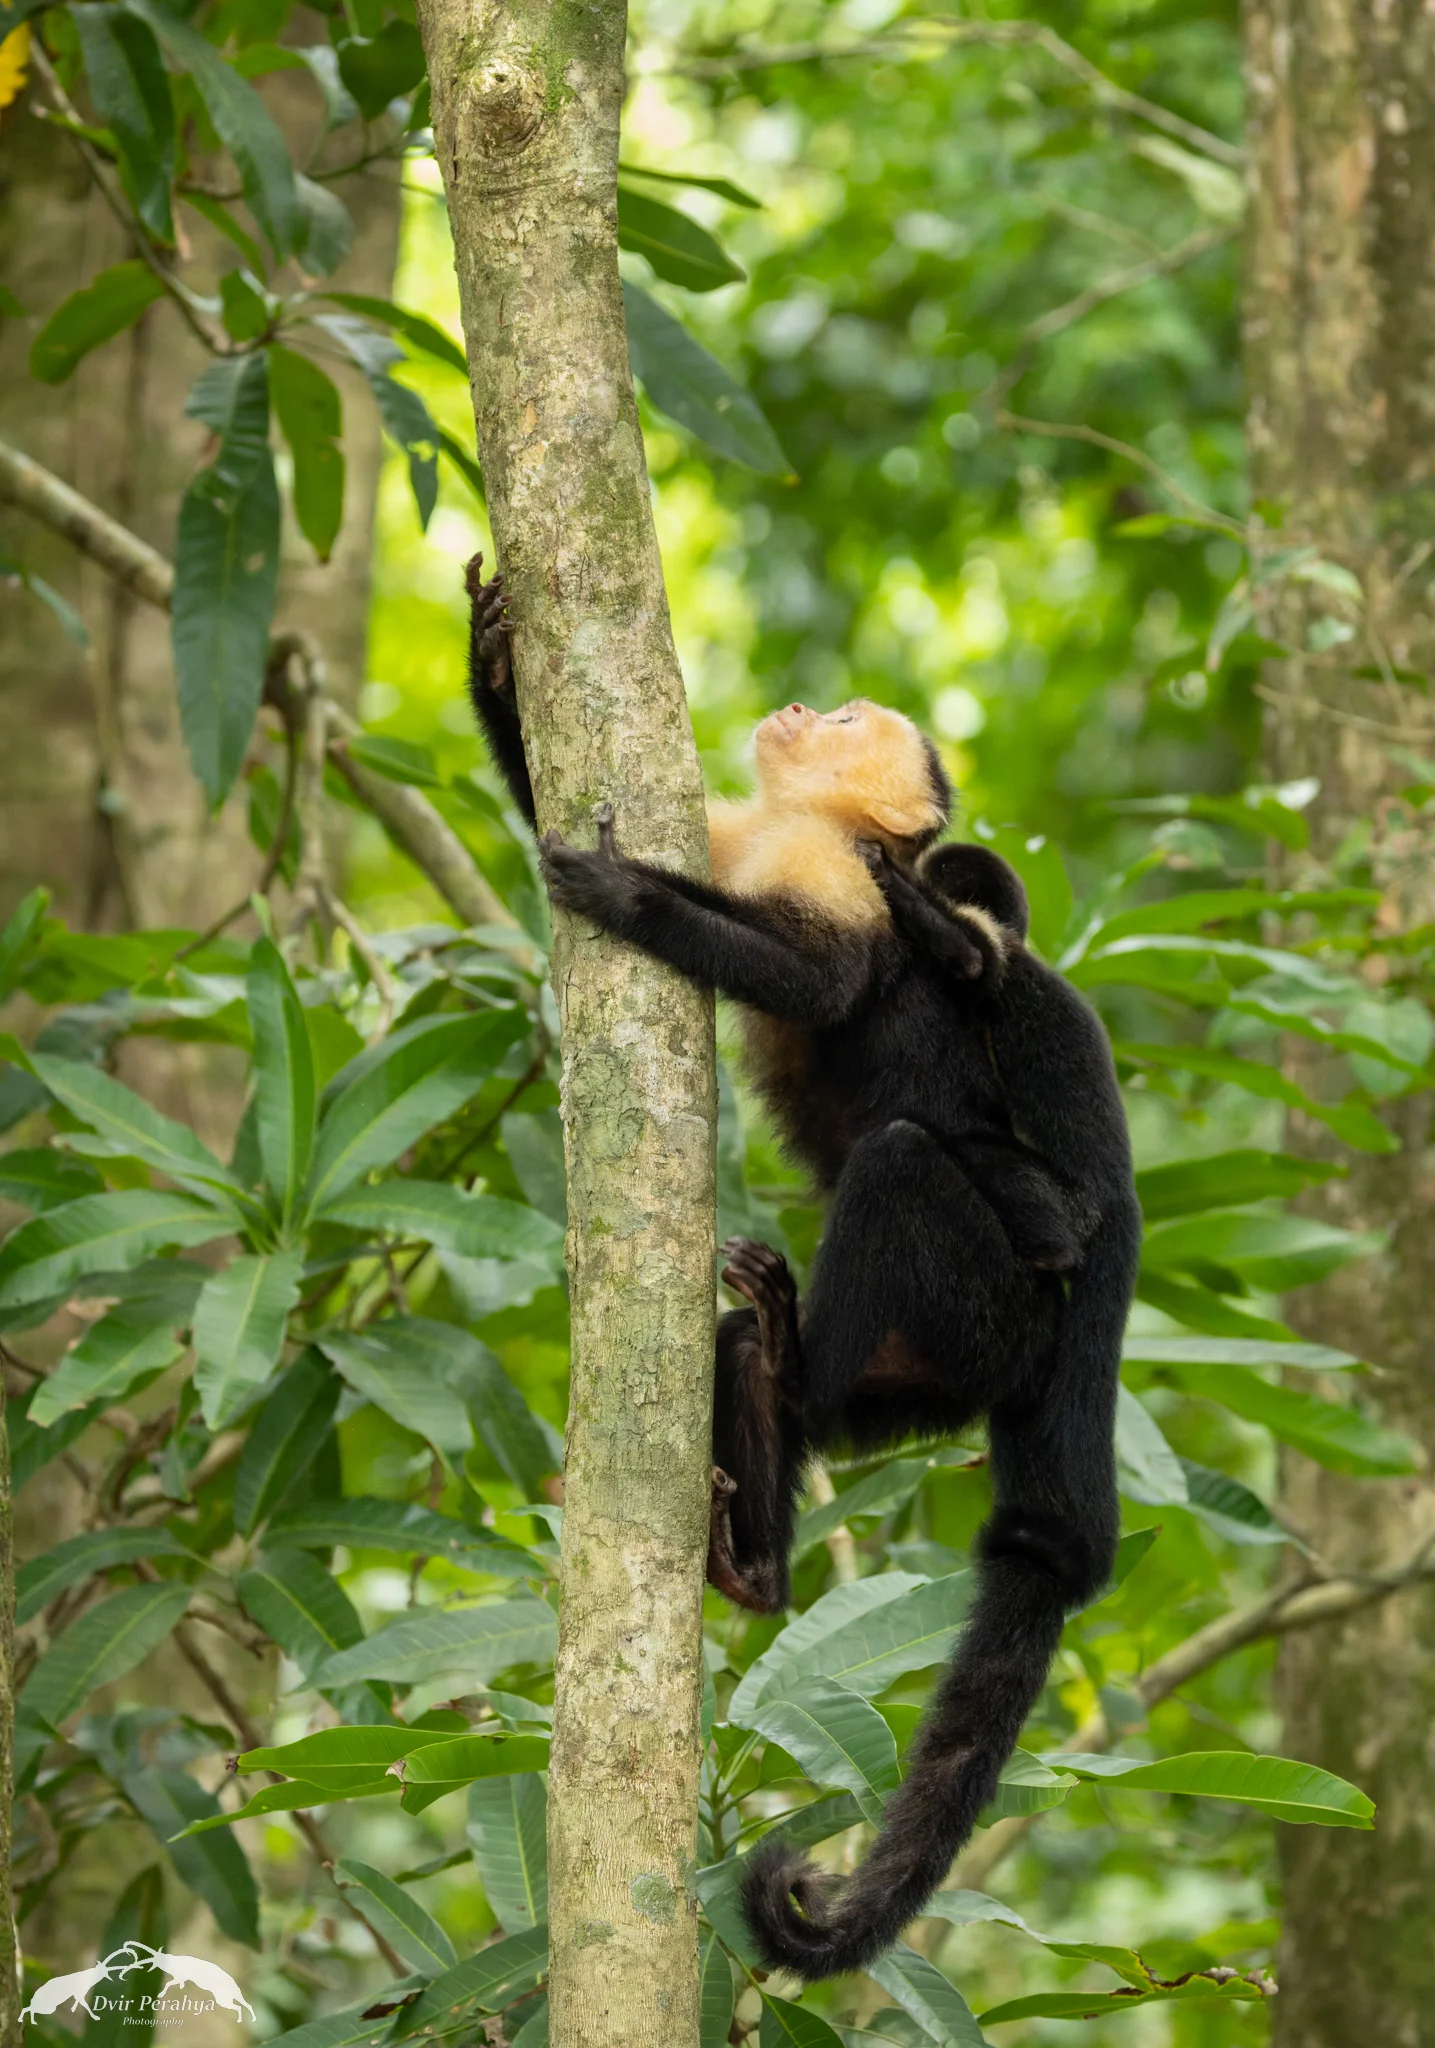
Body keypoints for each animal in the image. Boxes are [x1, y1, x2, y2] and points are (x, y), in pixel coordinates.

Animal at [462, 553, 1141, 1980]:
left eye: (843, 720)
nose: (796, 705)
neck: (800, 826)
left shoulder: (844, 872)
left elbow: (827, 985)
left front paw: (631, 899)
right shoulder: (745, 834)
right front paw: (491, 652)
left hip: (990, 1306)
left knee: (901, 1159)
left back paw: (795, 1354)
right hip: (927, 1381)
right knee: (760, 1371)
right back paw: (760, 1531)